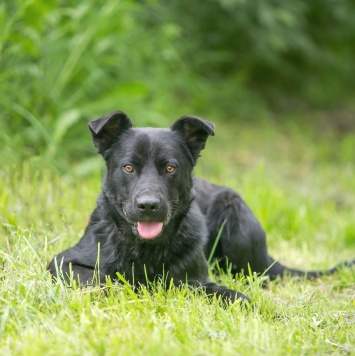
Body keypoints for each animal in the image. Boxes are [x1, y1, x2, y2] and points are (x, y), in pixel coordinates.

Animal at [48, 110, 354, 304]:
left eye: (170, 168)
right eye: (128, 167)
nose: (148, 206)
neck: (148, 249)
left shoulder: (197, 280)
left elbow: (226, 292)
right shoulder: (62, 263)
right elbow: (103, 278)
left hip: (235, 217)